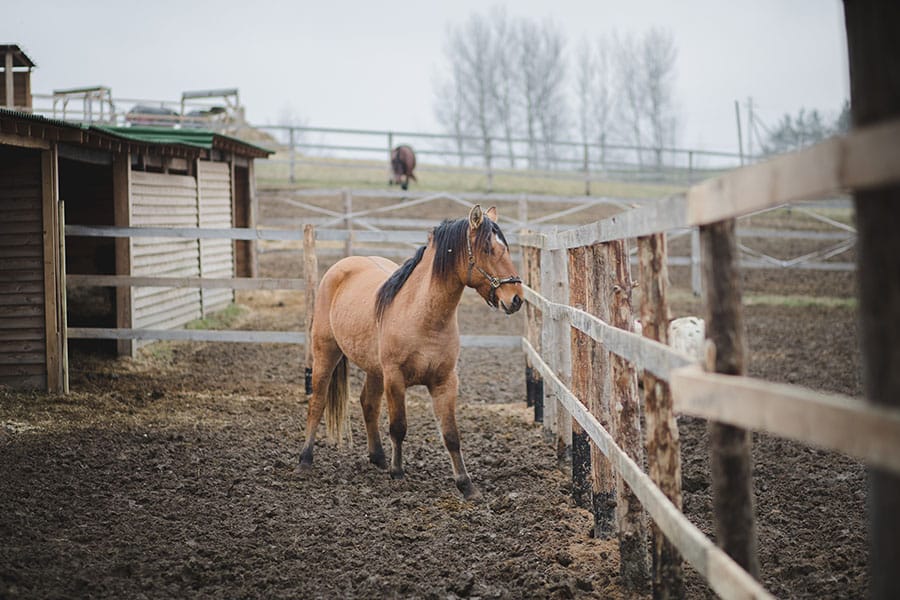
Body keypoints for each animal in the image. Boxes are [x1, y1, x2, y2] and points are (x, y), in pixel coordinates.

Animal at [298, 204, 524, 500]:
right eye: (488, 249)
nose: (516, 298)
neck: (423, 316)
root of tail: (340, 267)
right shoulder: (395, 378)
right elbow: (399, 427)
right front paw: (398, 473)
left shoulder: (445, 382)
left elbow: (451, 435)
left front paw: (466, 485)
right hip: (326, 353)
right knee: (317, 402)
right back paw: (305, 460)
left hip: (374, 369)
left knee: (368, 404)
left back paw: (378, 458)